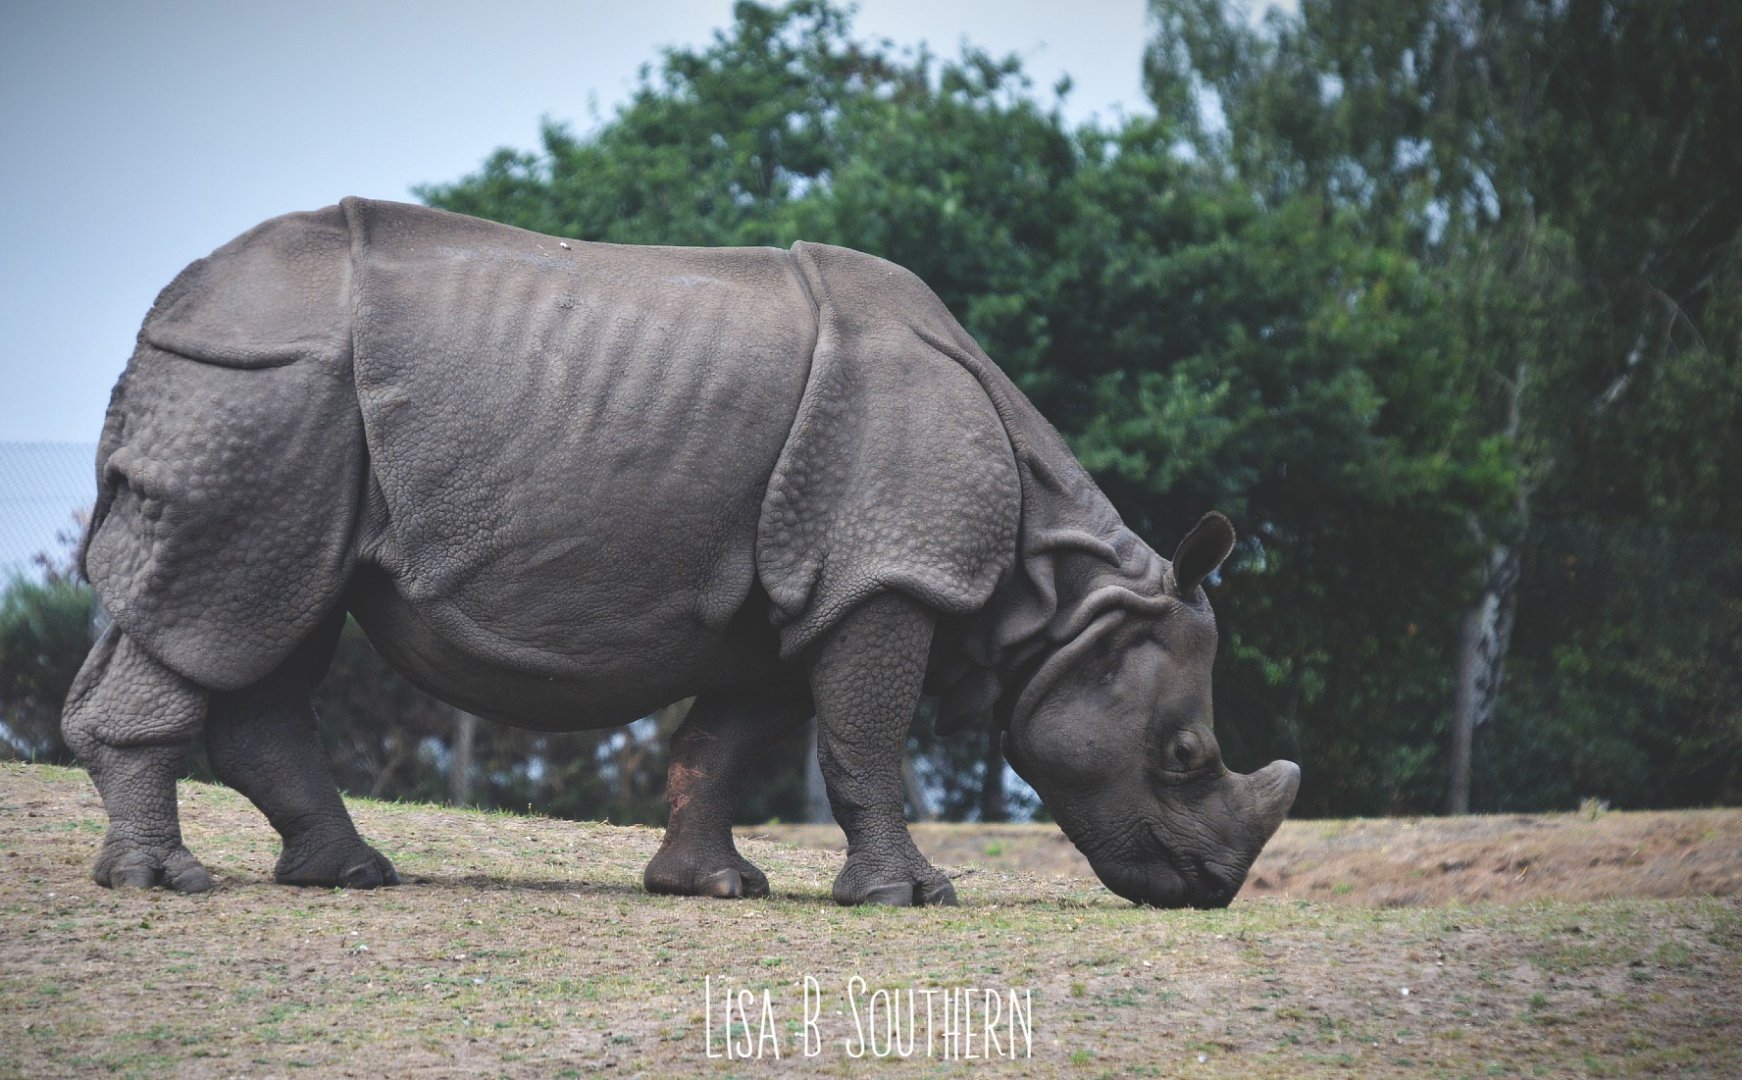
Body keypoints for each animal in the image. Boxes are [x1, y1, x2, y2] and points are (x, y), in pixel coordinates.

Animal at [63, 199, 1299, 908]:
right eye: (1184, 755)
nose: (1211, 891)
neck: (1068, 593)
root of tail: (165, 313)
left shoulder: (796, 584)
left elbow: (729, 737)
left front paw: (712, 887)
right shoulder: (883, 574)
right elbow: (863, 735)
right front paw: (909, 899)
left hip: (279, 410)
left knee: (268, 615)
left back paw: (349, 876)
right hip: (263, 391)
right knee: (228, 607)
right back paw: (170, 885)